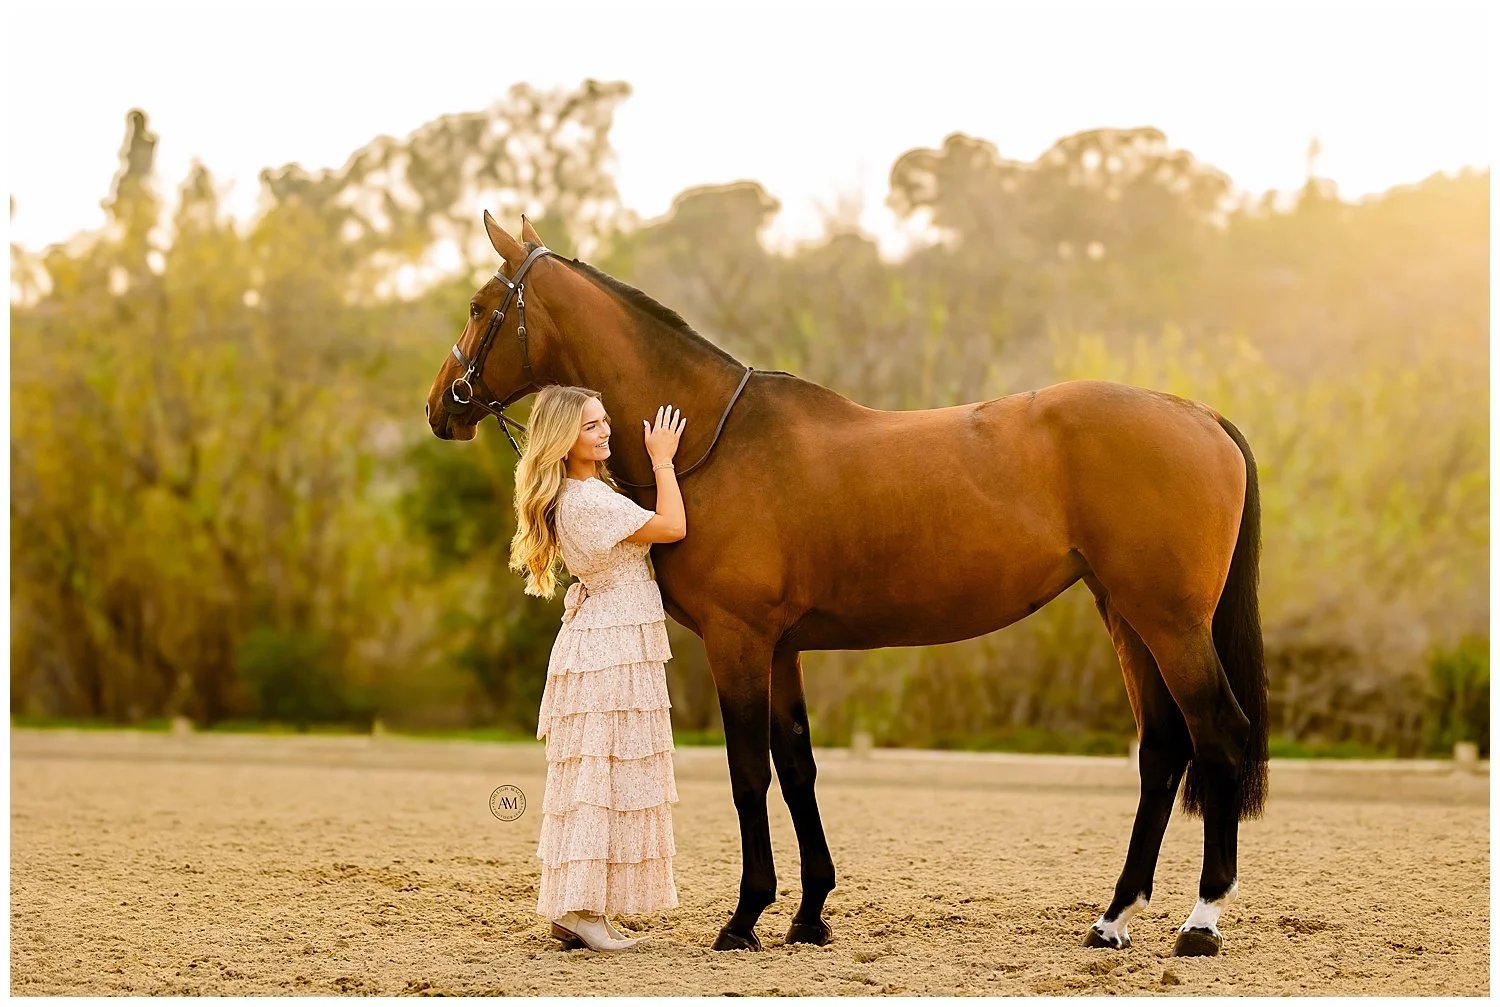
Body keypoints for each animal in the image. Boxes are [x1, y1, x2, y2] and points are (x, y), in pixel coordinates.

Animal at [424, 212, 1268, 958]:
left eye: (479, 306)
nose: (443, 405)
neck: (715, 439)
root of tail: (1201, 415)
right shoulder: (782, 648)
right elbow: (798, 766)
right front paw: (810, 914)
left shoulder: (738, 641)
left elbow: (748, 773)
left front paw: (745, 917)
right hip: (1127, 615)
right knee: (1163, 750)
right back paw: (1113, 918)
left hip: (1169, 620)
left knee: (1216, 733)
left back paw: (1201, 921)